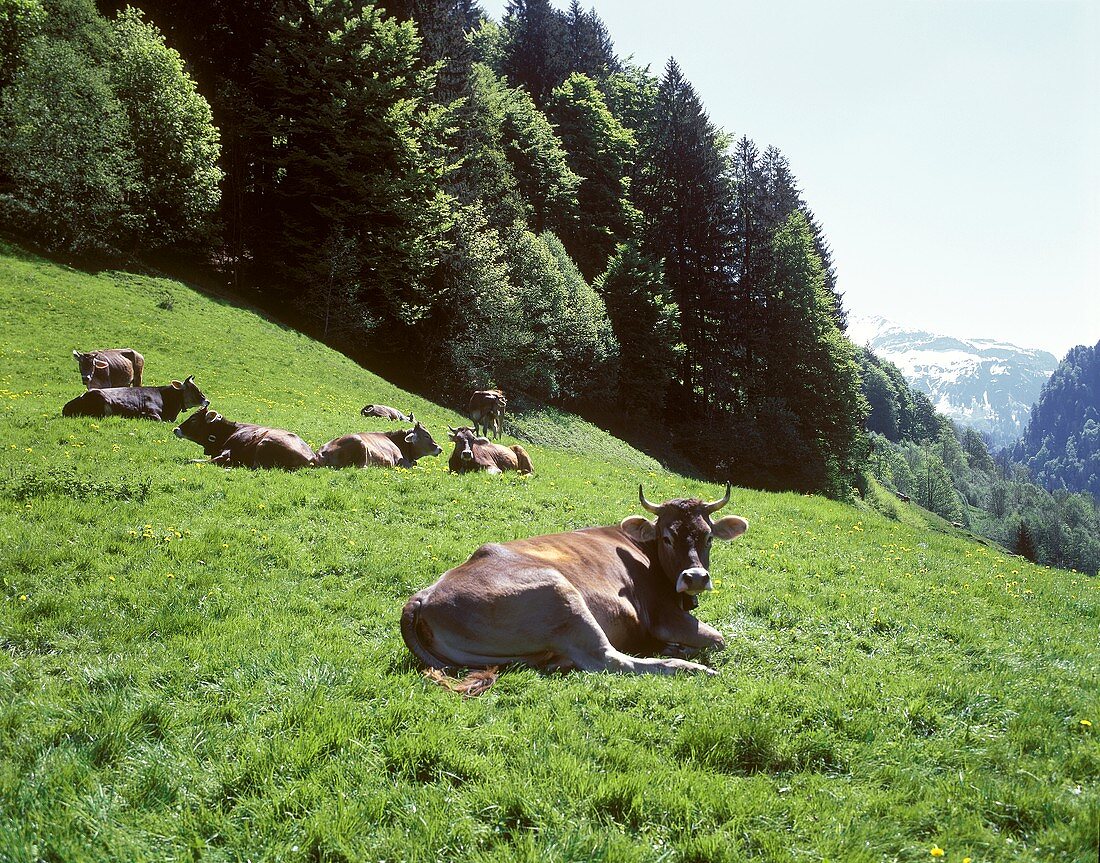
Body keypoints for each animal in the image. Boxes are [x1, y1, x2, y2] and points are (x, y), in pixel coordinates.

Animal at [404, 481, 748, 677]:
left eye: (708, 537)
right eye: (667, 537)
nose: (695, 577)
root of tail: (422, 597)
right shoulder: (663, 615)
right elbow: (719, 639)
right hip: (562, 595)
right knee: (609, 660)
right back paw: (690, 667)